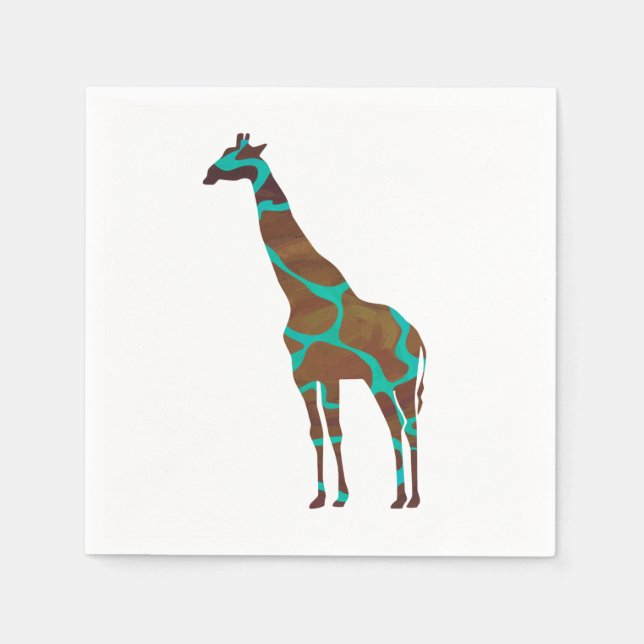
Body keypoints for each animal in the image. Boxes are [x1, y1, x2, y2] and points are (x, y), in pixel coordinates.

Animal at [203, 133, 427, 509]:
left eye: (237, 154)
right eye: (224, 151)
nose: (208, 174)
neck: (299, 295)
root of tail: (419, 339)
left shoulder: (302, 373)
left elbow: (319, 431)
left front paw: (329, 495)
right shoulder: (325, 374)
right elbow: (329, 431)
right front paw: (333, 496)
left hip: (389, 380)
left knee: (400, 426)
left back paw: (404, 498)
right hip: (394, 382)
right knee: (405, 425)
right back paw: (408, 497)